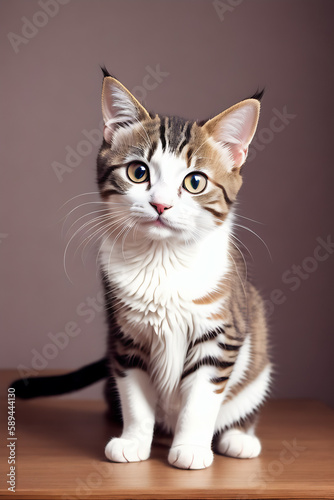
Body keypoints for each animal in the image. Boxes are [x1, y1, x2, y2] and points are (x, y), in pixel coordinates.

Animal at [11, 68, 270, 470]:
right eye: (138, 172)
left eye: (195, 181)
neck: (161, 260)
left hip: (256, 352)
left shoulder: (221, 334)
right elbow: (135, 396)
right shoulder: (125, 337)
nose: (160, 205)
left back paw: (239, 437)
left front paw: (191, 448)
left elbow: (201, 399)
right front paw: (133, 440)